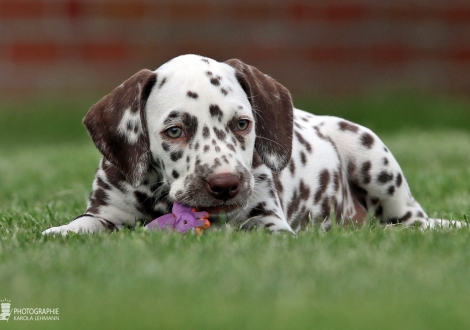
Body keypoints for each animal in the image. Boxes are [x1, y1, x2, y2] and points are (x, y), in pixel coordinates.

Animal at [42, 54, 458, 235]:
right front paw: (58, 236)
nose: (226, 184)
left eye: (242, 124)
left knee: (411, 221)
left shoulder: (266, 218)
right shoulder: (107, 212)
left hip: (372, 157)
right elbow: (78, 227)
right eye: (174, 131)